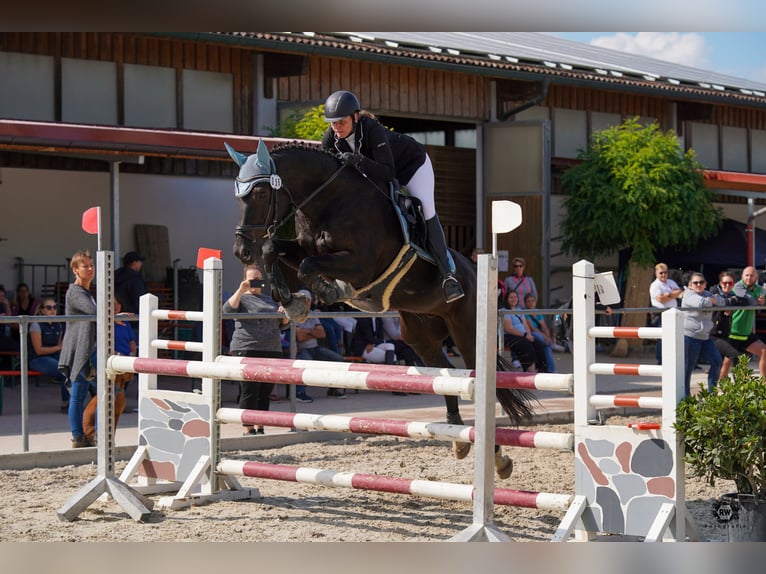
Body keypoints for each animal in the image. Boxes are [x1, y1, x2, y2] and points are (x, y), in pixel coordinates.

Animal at [225, 141, 532, 482]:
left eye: (260, 193)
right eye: (238, 194)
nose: (241, 251)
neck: (327, 201)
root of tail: (474, 271)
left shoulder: (360, 265)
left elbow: (308, 266)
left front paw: (329, 291)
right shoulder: (302, 246)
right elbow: (275, 250)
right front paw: (293, 302)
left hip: (466, 331)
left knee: (477, 379)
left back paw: (497, 457)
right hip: (419, 336)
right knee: (445, 375)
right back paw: (461, 438)